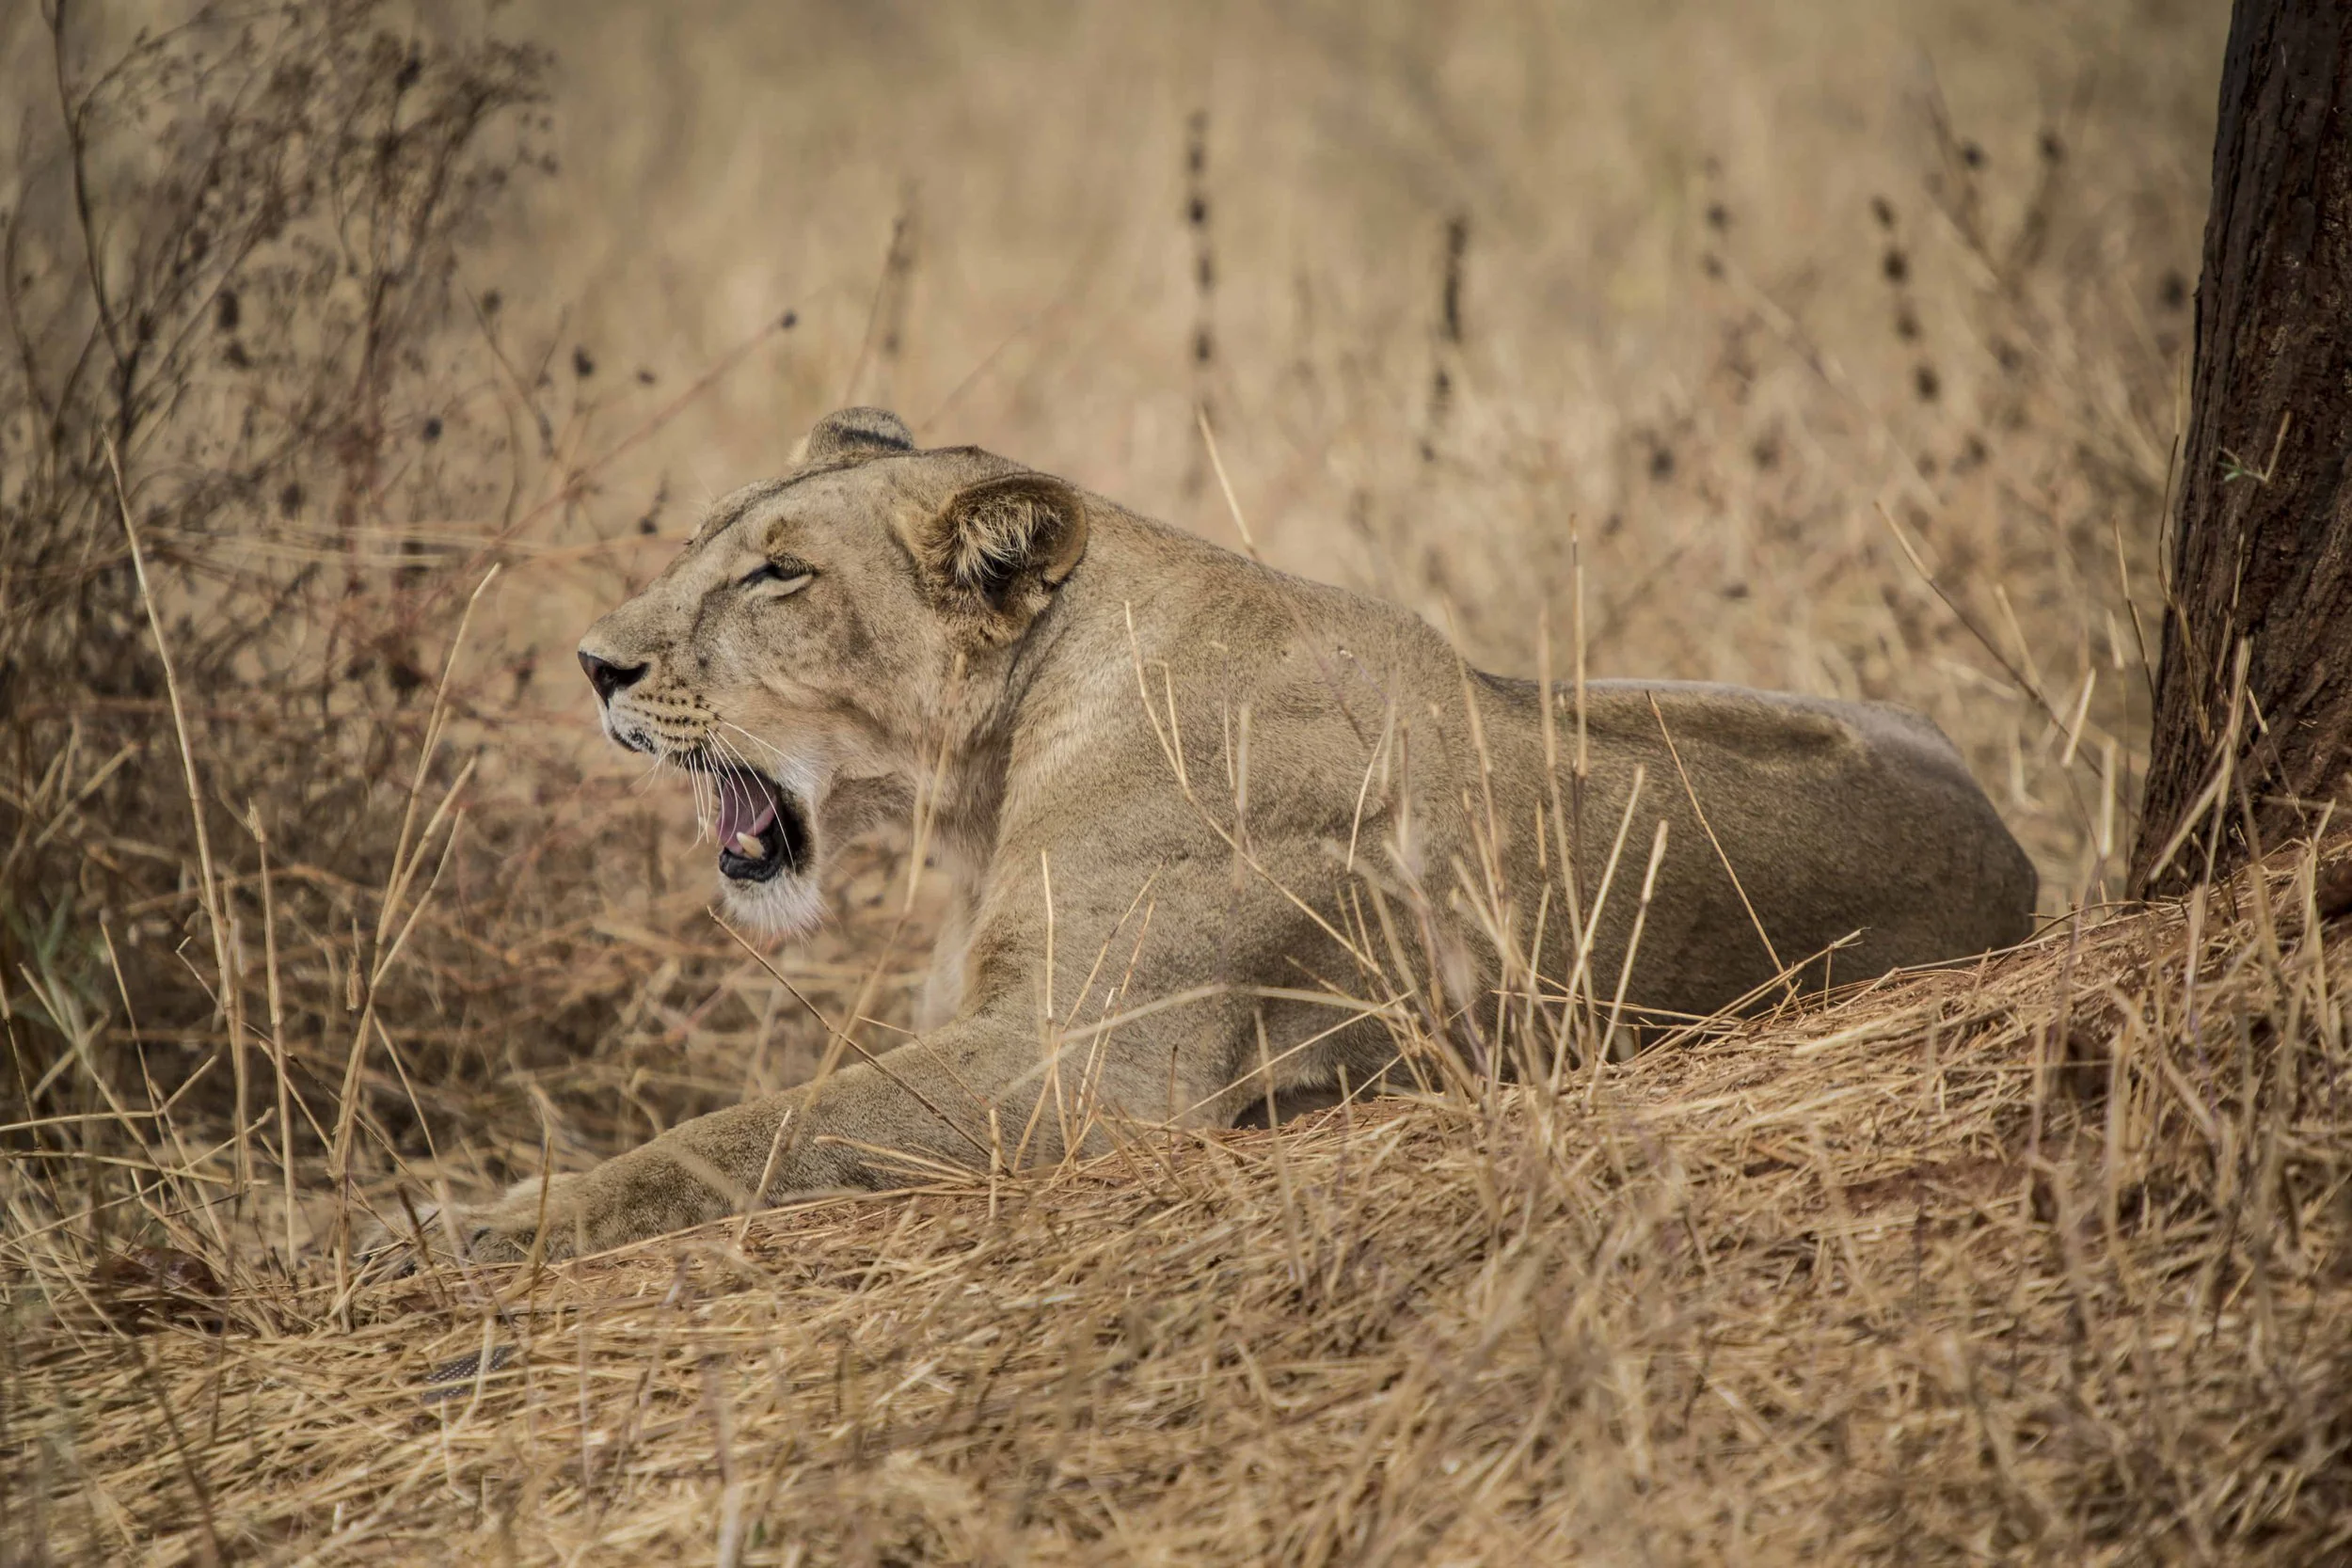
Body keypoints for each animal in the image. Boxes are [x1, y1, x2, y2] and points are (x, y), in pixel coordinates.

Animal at [385, 406, 2035, 1264]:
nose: (592, 665)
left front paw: (463, 1226)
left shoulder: (1082, 1067)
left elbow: (749, 1132)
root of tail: (2019, 860)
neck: (998, 766)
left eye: (777, 574)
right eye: (703, 540)